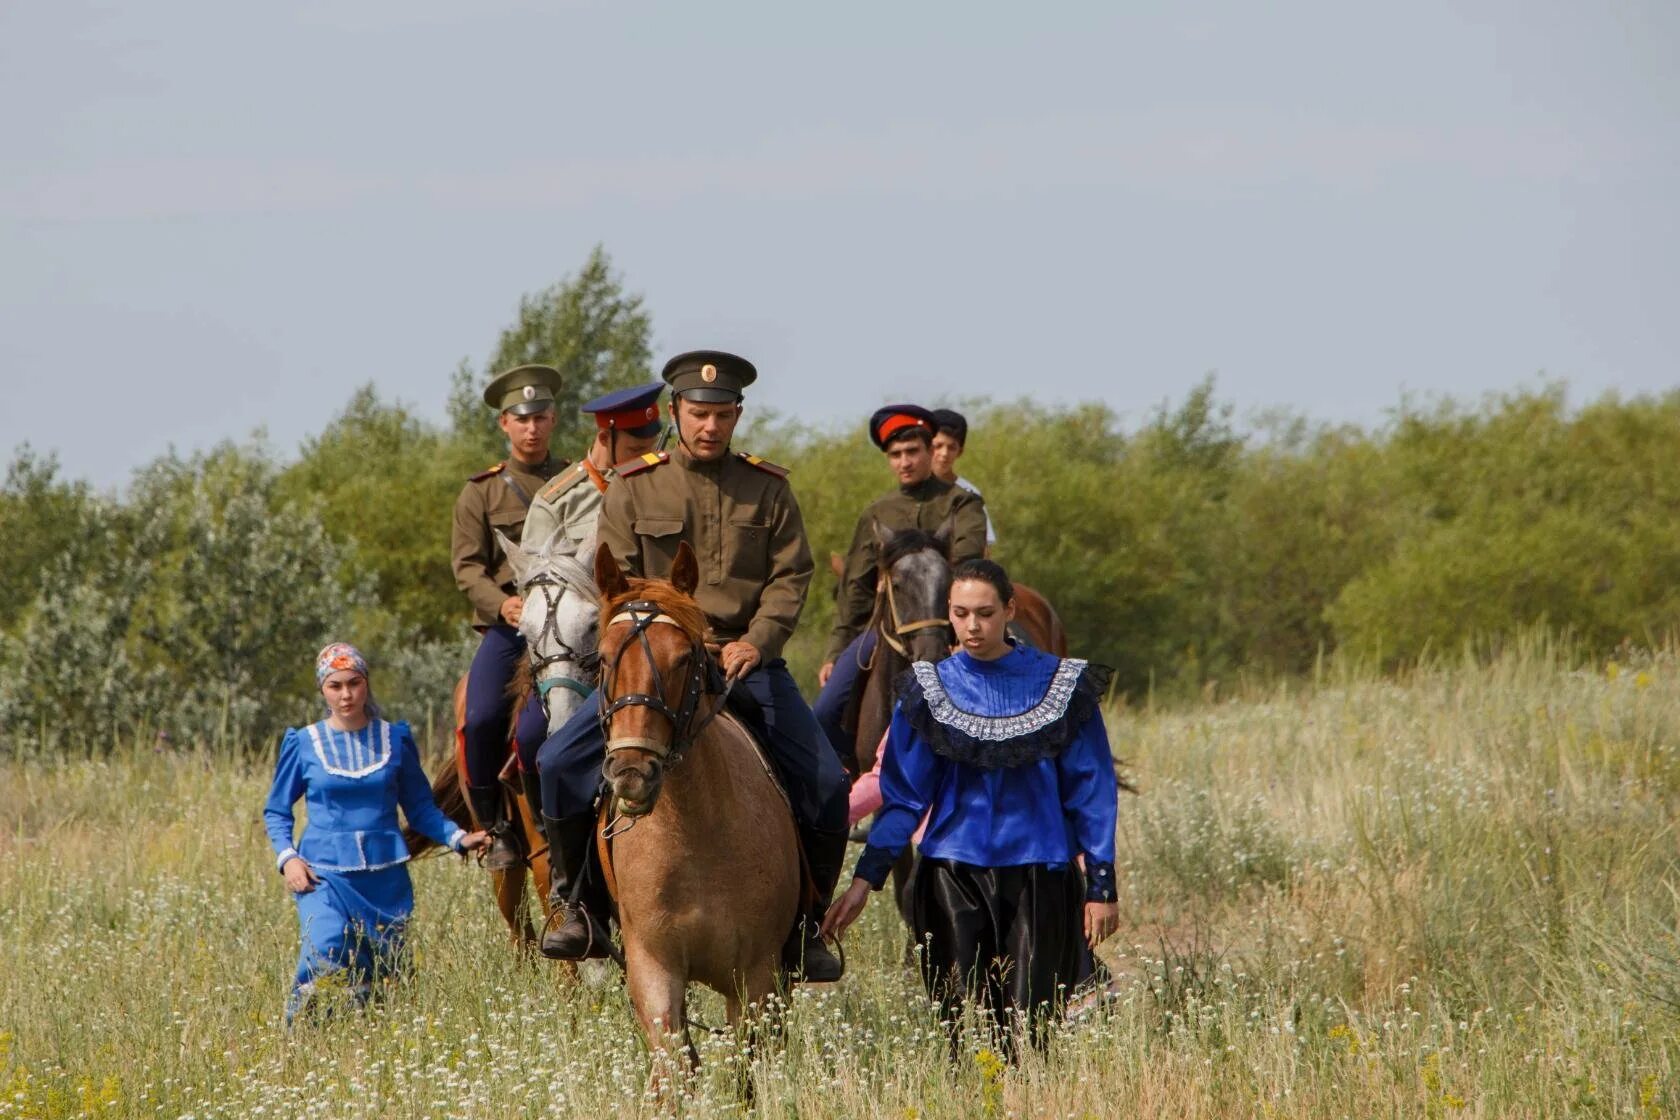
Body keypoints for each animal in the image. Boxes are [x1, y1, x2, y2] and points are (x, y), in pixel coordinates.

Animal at [591, 537, 799, 1088]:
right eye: (603, 660)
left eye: (684, 658)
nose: (632, 771)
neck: (695, 831)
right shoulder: (654, 969)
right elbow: (674, 1070)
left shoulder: (755, 977)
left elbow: (747, 1075)